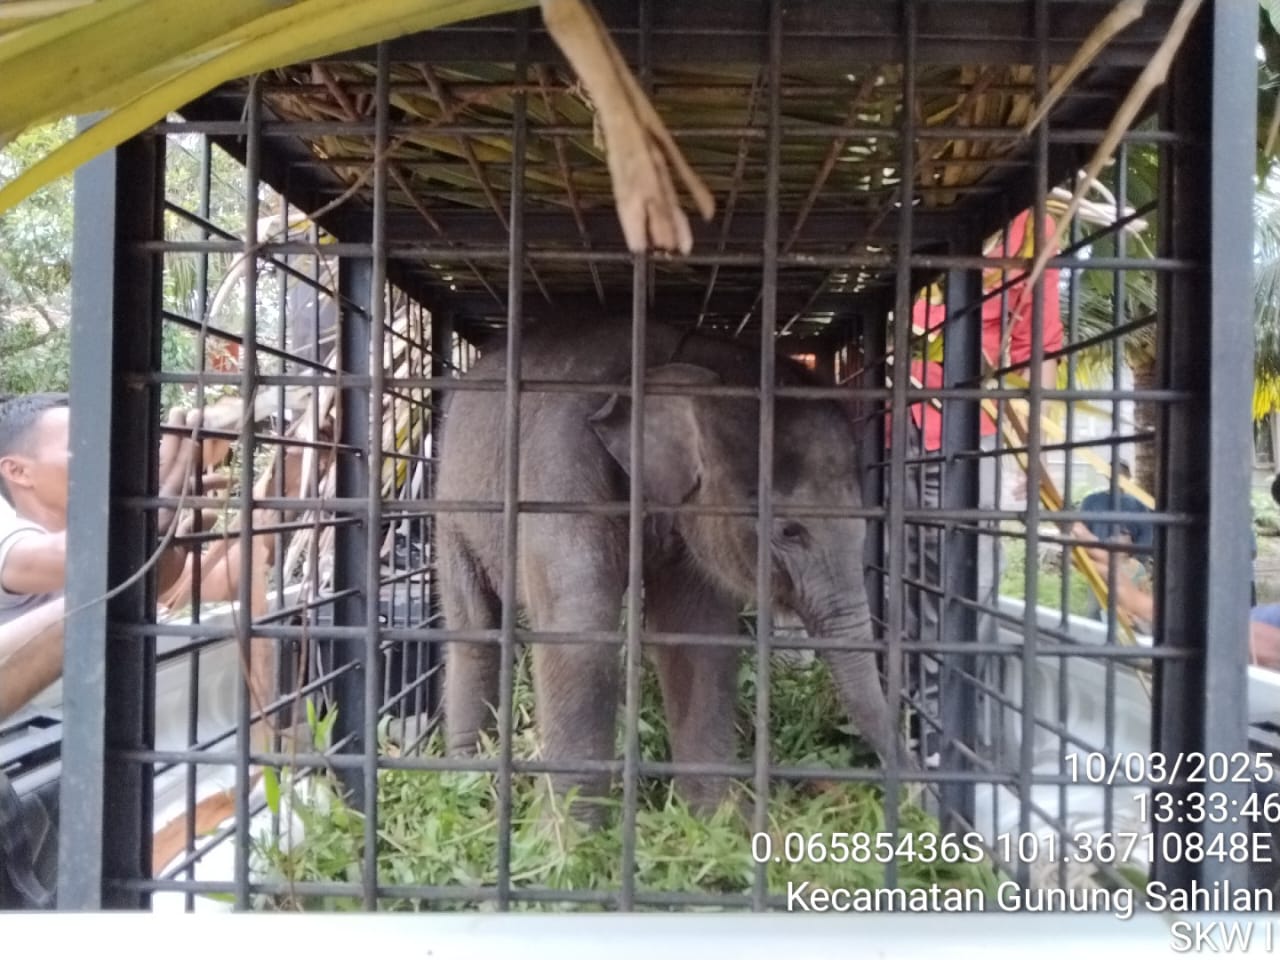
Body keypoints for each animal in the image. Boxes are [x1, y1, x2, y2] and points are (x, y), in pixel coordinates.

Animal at [435, 316, 906, 819]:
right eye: (789, 530)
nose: (911, 788)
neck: (684, 354)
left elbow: (695, 633)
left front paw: (716, 820)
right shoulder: (558, 460)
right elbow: (580, 629)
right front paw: (570, 837)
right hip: (452, 507)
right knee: (474, 629)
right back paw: (467, 780)